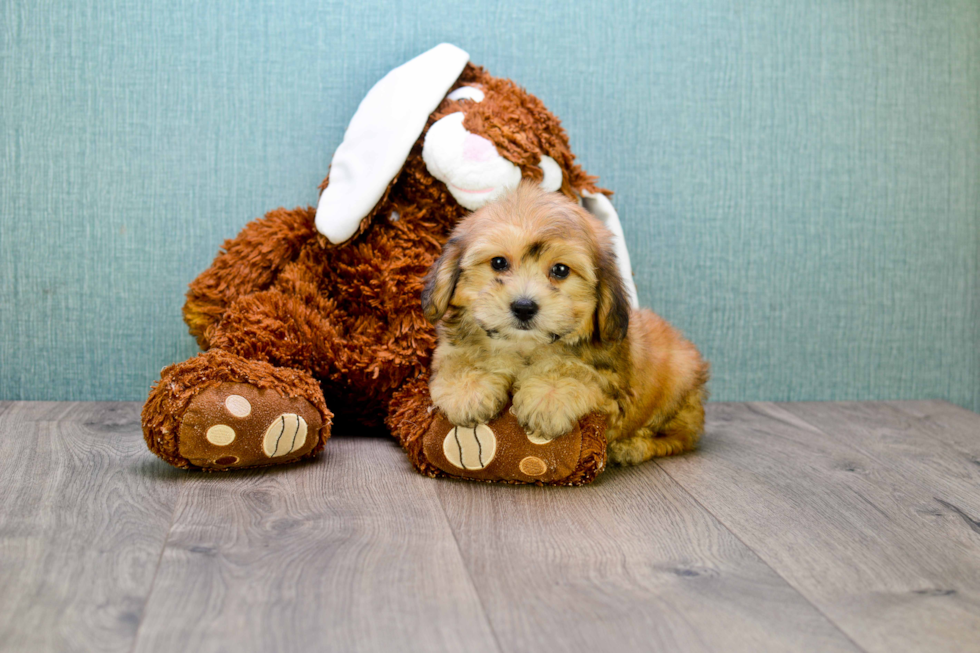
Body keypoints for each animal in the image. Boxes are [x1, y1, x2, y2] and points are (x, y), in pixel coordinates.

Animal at [418, 181, 708, 460]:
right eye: (498, 263)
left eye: (560, 270)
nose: (524, 307)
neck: (522, 346)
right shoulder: (451, 348)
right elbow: (459, 360)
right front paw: (467, 388)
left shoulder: (612, 386)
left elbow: (577, 371)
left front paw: (549, 396)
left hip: (679, 387)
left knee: (676, 437)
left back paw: (631, 447)